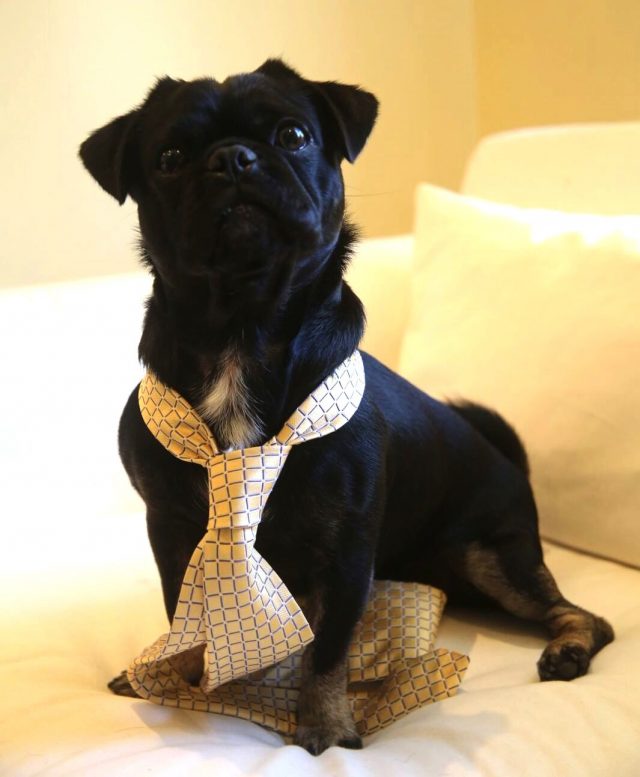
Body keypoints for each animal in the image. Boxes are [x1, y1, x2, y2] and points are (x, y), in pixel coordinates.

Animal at [81, 59, 616, 752]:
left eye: (294, 135)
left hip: (494, 558)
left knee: (581, 615)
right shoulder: (172, 529)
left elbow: (327, 650)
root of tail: (510, 463)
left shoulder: (344, 555)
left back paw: (568, 649)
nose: (233, 158)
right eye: (170, 158)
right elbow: (186, 614)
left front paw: (327, 726)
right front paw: (172, 675)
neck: (243, 330)